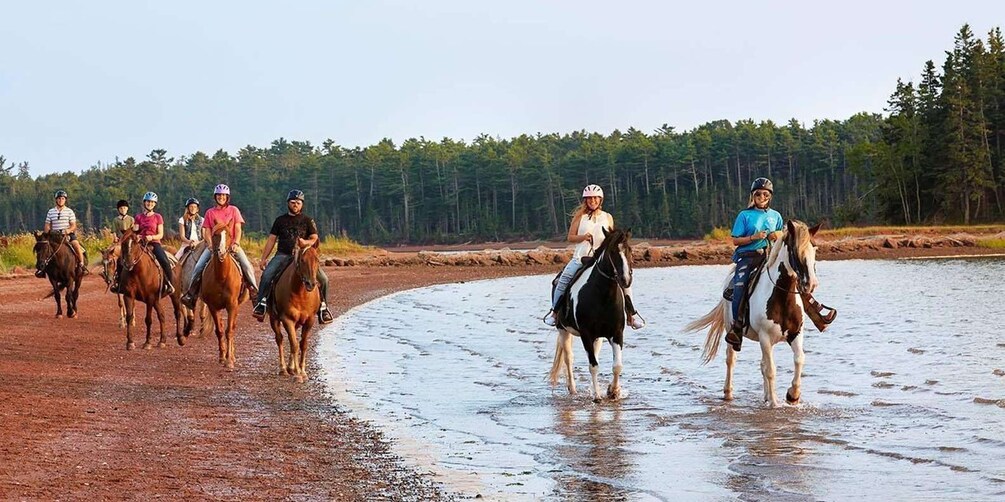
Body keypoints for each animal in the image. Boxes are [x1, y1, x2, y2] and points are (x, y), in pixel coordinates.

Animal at [200, 224, 249, 369]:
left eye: (228, 234)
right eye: (215, 234)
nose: (221, 252)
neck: (222, 277)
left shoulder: (232, 305)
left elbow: (229, 331)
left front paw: (229, 360)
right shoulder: (213, 307)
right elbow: (220, 331)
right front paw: (222, 357)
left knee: (232, 327)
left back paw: (232, 355)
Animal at [268, 242, 322, 383]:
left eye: (317, 260)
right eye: (302, 260)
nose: (311, 284)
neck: (301, 294)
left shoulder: (309, 321)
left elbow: (302, 344)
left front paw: (302, 371)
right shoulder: (287, 319)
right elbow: (294, 344)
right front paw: (298, 374)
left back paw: (290, 367)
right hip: (274, 319)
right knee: (280, 339)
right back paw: (283, 369)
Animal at [547, 227, 634, 401]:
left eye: (629, 249)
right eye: (612, 251)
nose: (626, 279)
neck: (602, 296)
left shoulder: (616, 333)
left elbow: (617, 366)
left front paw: (613, 391)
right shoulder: (586, 334)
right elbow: (593, 366)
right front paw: (597, 396)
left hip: (598, 337)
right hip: (563, 330)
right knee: (569, 358)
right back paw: (573, 390)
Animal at [684, 220, 821, 408]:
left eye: (814, 248)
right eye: (795, 251)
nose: (811, 284)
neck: (782, 297)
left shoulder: (795, 334)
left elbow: (799, 359)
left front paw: (792, 395)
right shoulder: (765, 337)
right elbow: (771, 370)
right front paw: (774, 403)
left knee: (762, 364)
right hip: (732, 330)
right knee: (731, 359)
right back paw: (728, 393)